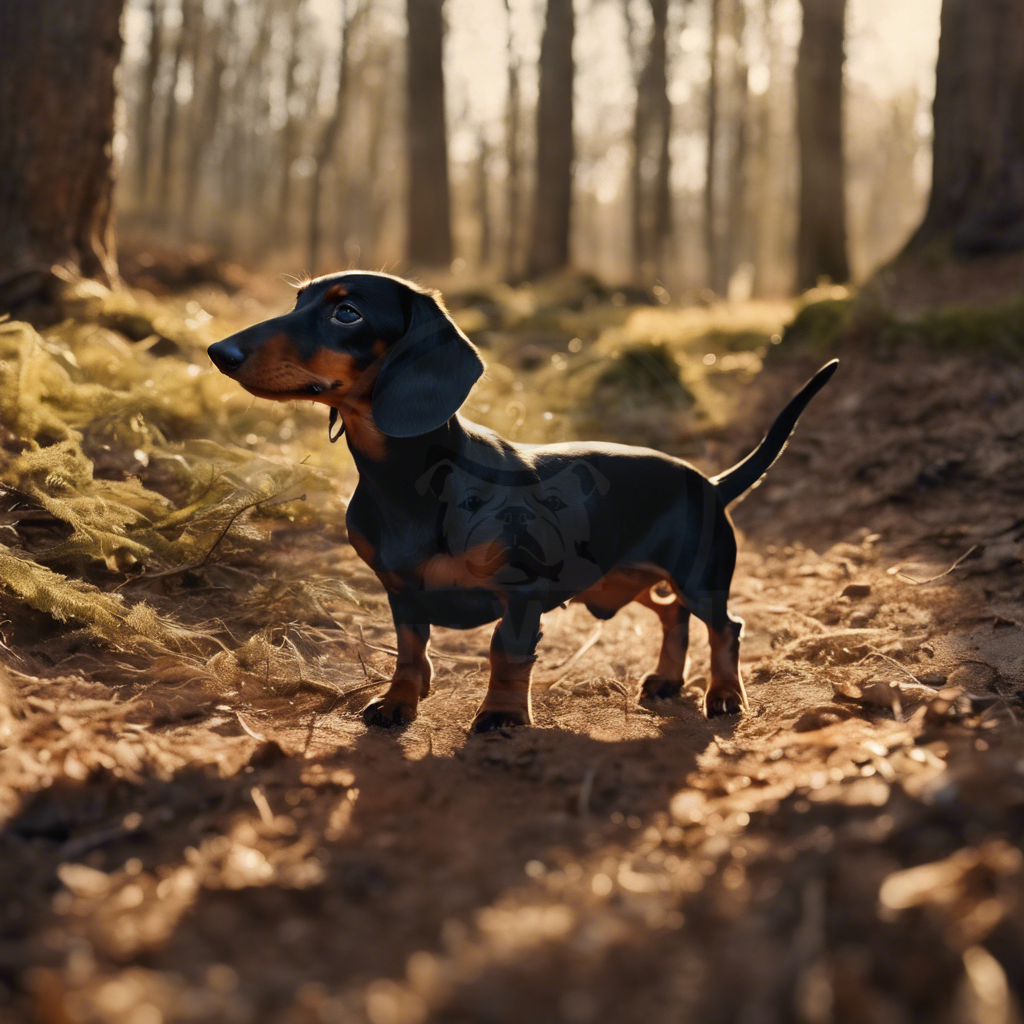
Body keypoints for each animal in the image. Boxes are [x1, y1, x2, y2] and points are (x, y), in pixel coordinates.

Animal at [209, 272, 839, 733]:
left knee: (724, 625)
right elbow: (410, 651)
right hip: (624, 575)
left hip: (700, 573)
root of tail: (708, 481)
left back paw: (725, 694)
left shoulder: (520, 593)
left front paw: (501, 715)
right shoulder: (401, 591)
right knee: (672, 614)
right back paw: (665, 679)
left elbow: (505, 654)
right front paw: (399, 703)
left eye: (347, 313)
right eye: (298, 299)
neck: (408, 482)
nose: (218, 351)